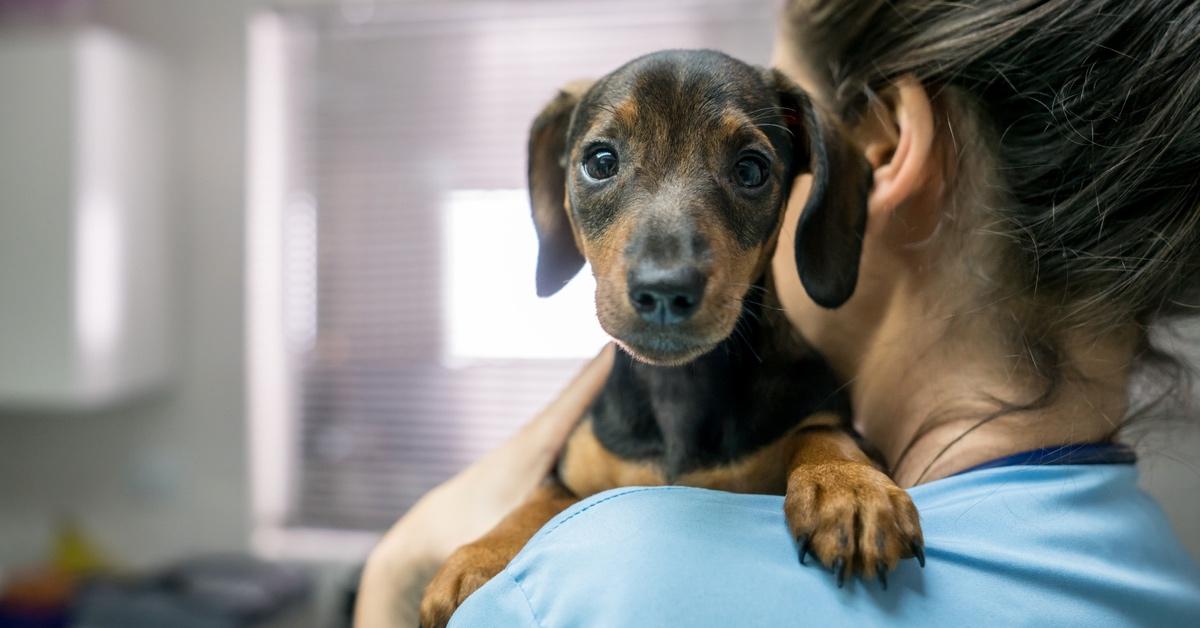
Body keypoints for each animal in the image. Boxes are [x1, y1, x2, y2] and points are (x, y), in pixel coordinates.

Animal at [422, 50, 926, 628]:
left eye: (751, 170)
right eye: (600, 161)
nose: (665, 290)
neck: (678, 391)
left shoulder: (822, 411)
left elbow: (824, 433)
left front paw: (850, 488)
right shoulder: (568, 471)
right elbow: (534, 502)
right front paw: (478, 557)